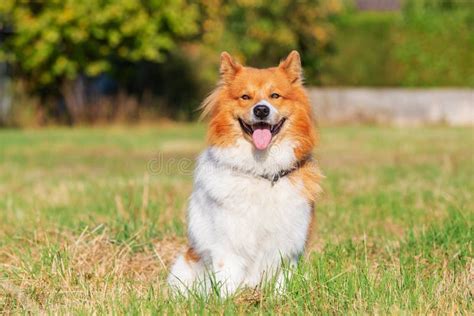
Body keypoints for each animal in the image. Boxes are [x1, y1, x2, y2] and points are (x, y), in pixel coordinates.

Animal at [168, 50, 322, 296]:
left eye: (275, 95)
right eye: (245, 97)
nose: (261, 109)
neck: (262, 172)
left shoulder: (288, 245)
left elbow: (281, 282)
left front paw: (279, 299)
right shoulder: (229, 244)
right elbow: (227, 282)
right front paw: (229, 301)